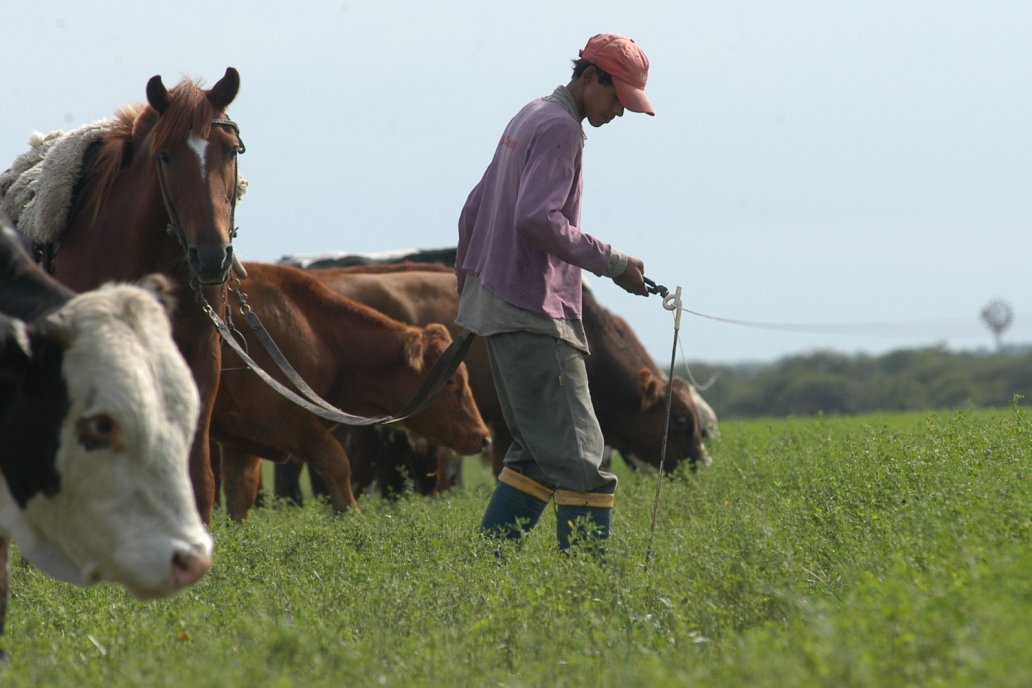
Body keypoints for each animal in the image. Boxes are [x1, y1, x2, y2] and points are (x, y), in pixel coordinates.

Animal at [209, 260, 487, 519]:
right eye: (451, 382)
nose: (483, 437)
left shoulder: (240, 441)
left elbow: (240, 493)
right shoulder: (284, 422)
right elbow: (336, 462)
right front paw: (352, 516)